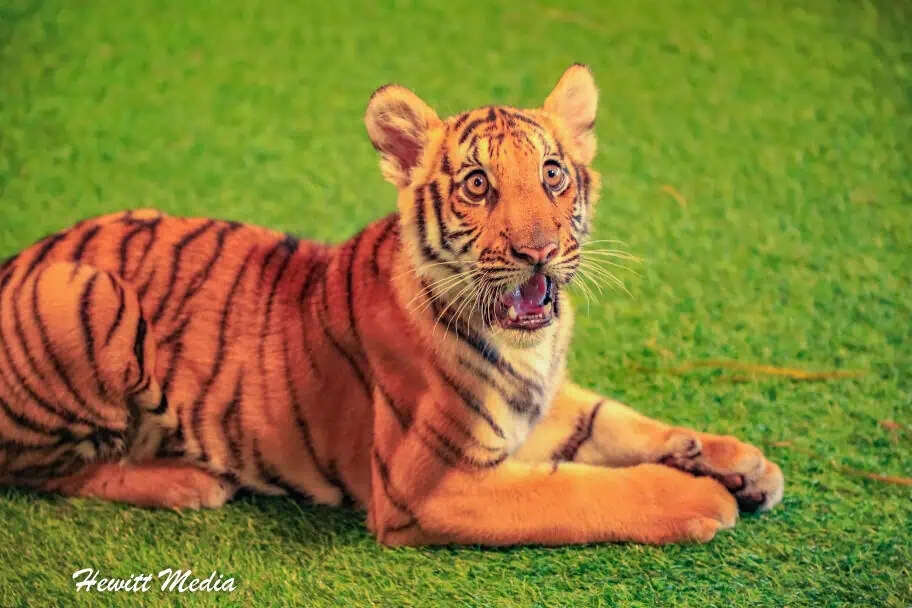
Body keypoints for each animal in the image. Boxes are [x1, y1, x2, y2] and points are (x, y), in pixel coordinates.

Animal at [0, 65, 783, 546]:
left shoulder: (544, 404)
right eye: (477, 185)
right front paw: (702, 498)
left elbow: (620, 421)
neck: (532, 344)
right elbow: (584, 493)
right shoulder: (429, 485)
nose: (537, 252)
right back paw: (188, 483)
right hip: (82, 293)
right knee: (47, 472)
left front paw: (739, 463)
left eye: (553, 175)